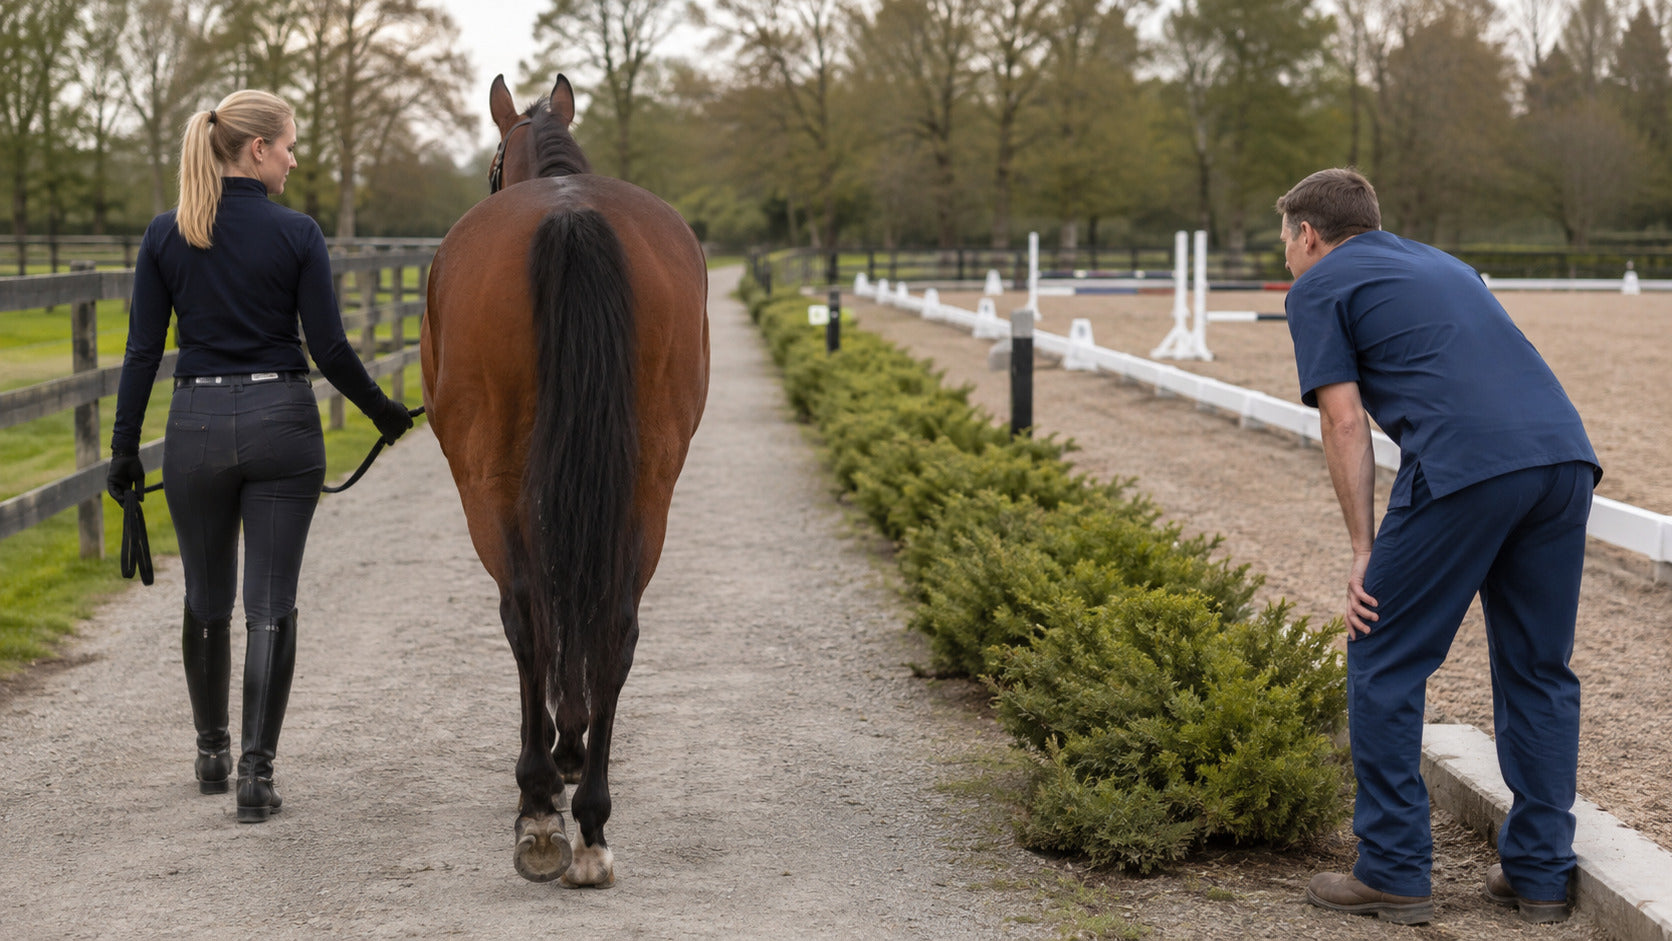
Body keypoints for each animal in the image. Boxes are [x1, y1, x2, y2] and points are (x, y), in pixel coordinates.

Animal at [419, 73, 710, 887]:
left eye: (491, 164)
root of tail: (570, 216)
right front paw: (574, 747)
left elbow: (542, 619)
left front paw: (554, 762)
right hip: (648, 482)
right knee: (616, 620)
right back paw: (592, 820)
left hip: (489, 483)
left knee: (525, 617)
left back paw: (542, 808)